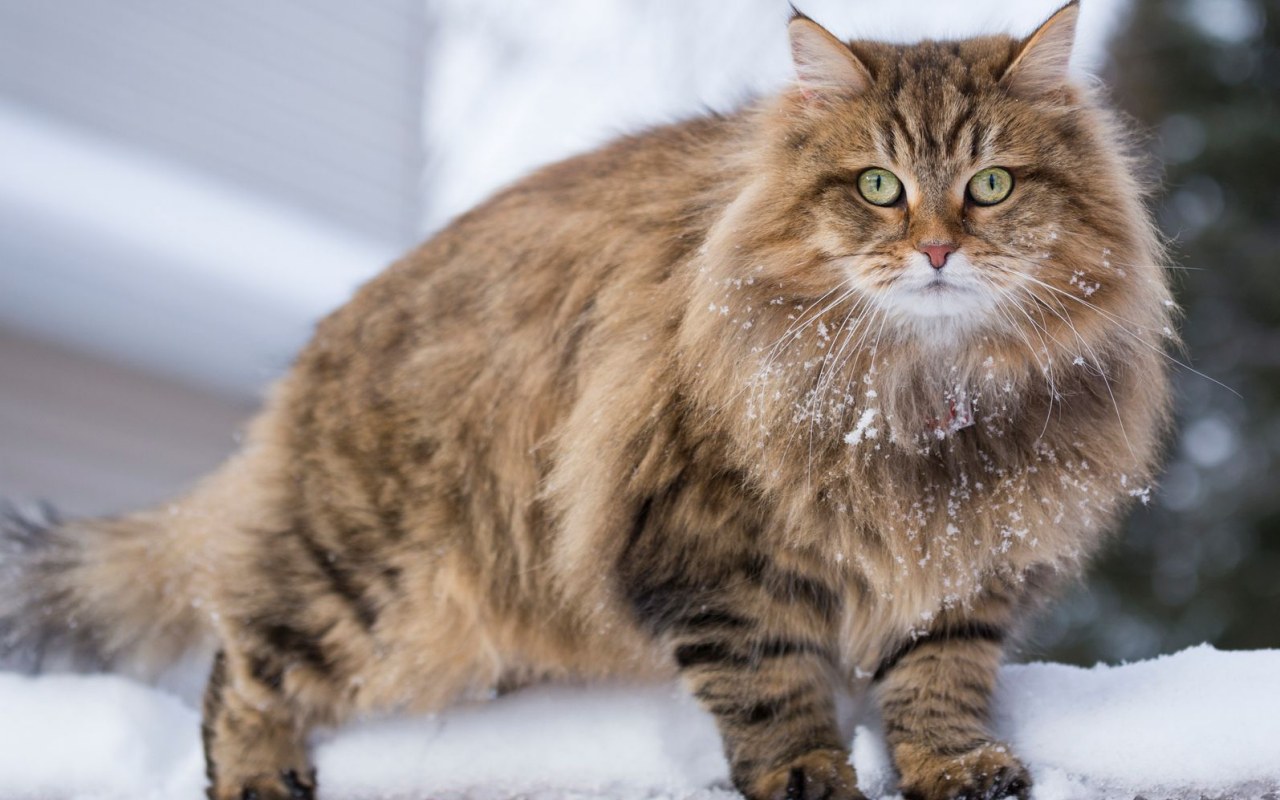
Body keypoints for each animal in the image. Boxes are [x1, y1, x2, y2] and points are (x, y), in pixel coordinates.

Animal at [2, 6, 1177, 798]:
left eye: (992, 185)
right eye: (877, 187)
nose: (935, 249)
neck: (918, 397)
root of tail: (324, 346)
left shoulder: (964, 563)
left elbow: (937, 682)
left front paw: (954, 764)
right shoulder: (712, 555)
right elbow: (775, 692)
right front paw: (807, 772)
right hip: (373, 585)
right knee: (238, 661)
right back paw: (257, 774)